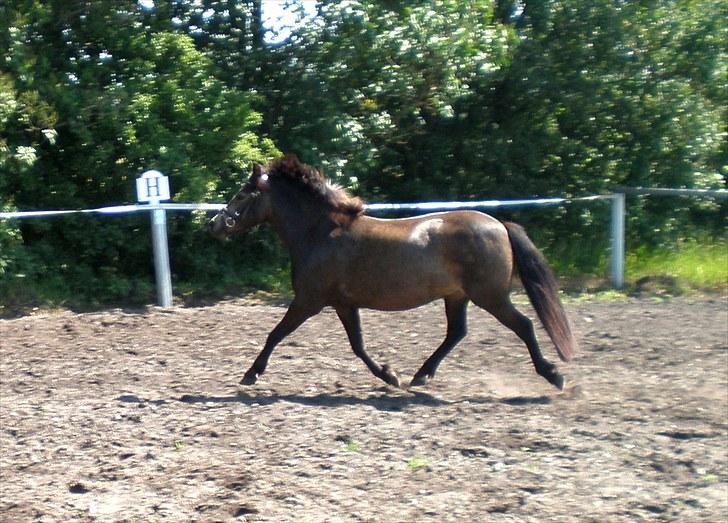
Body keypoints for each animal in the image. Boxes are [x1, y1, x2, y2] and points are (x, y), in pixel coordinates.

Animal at [207, 155, 576, 390]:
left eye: (242, 193)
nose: (213, 225)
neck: (321, 233)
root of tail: (500, 224)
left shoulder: (308, 301)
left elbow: (275, 334)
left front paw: (250, 374)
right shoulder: (343, 303)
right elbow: (357, 345)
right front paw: (390, 375)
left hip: (491, 296)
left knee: (524, 326)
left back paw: (554, 375)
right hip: (457, 296)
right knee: (456, 333)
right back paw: (420, 376)